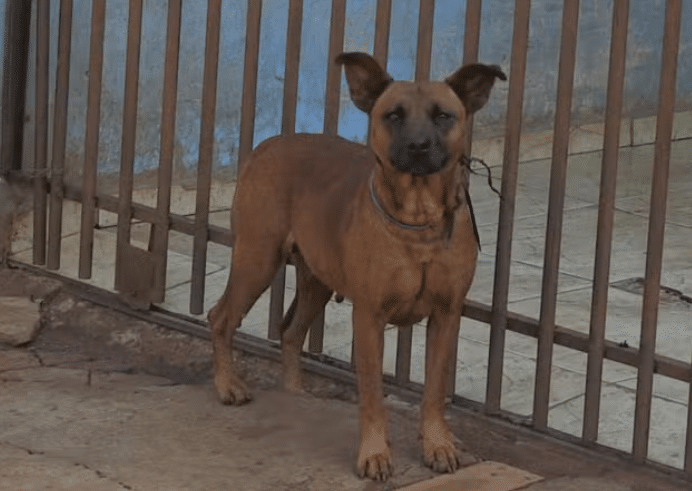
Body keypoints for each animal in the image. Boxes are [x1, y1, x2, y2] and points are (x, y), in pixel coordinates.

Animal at [208, 52, 506, 480]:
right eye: (393, 115)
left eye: (443, 116)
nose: (418, 146)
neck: (417, 220)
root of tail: (267, 145)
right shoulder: (368, 318)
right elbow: (372, 393)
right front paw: (375, 453)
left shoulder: (446, 316)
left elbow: (434, 391)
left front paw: (437, 444)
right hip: (256, 260)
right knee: (220, 317)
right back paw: (228, 385)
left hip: (315, 281)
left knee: (290, 332)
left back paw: (295, 394)